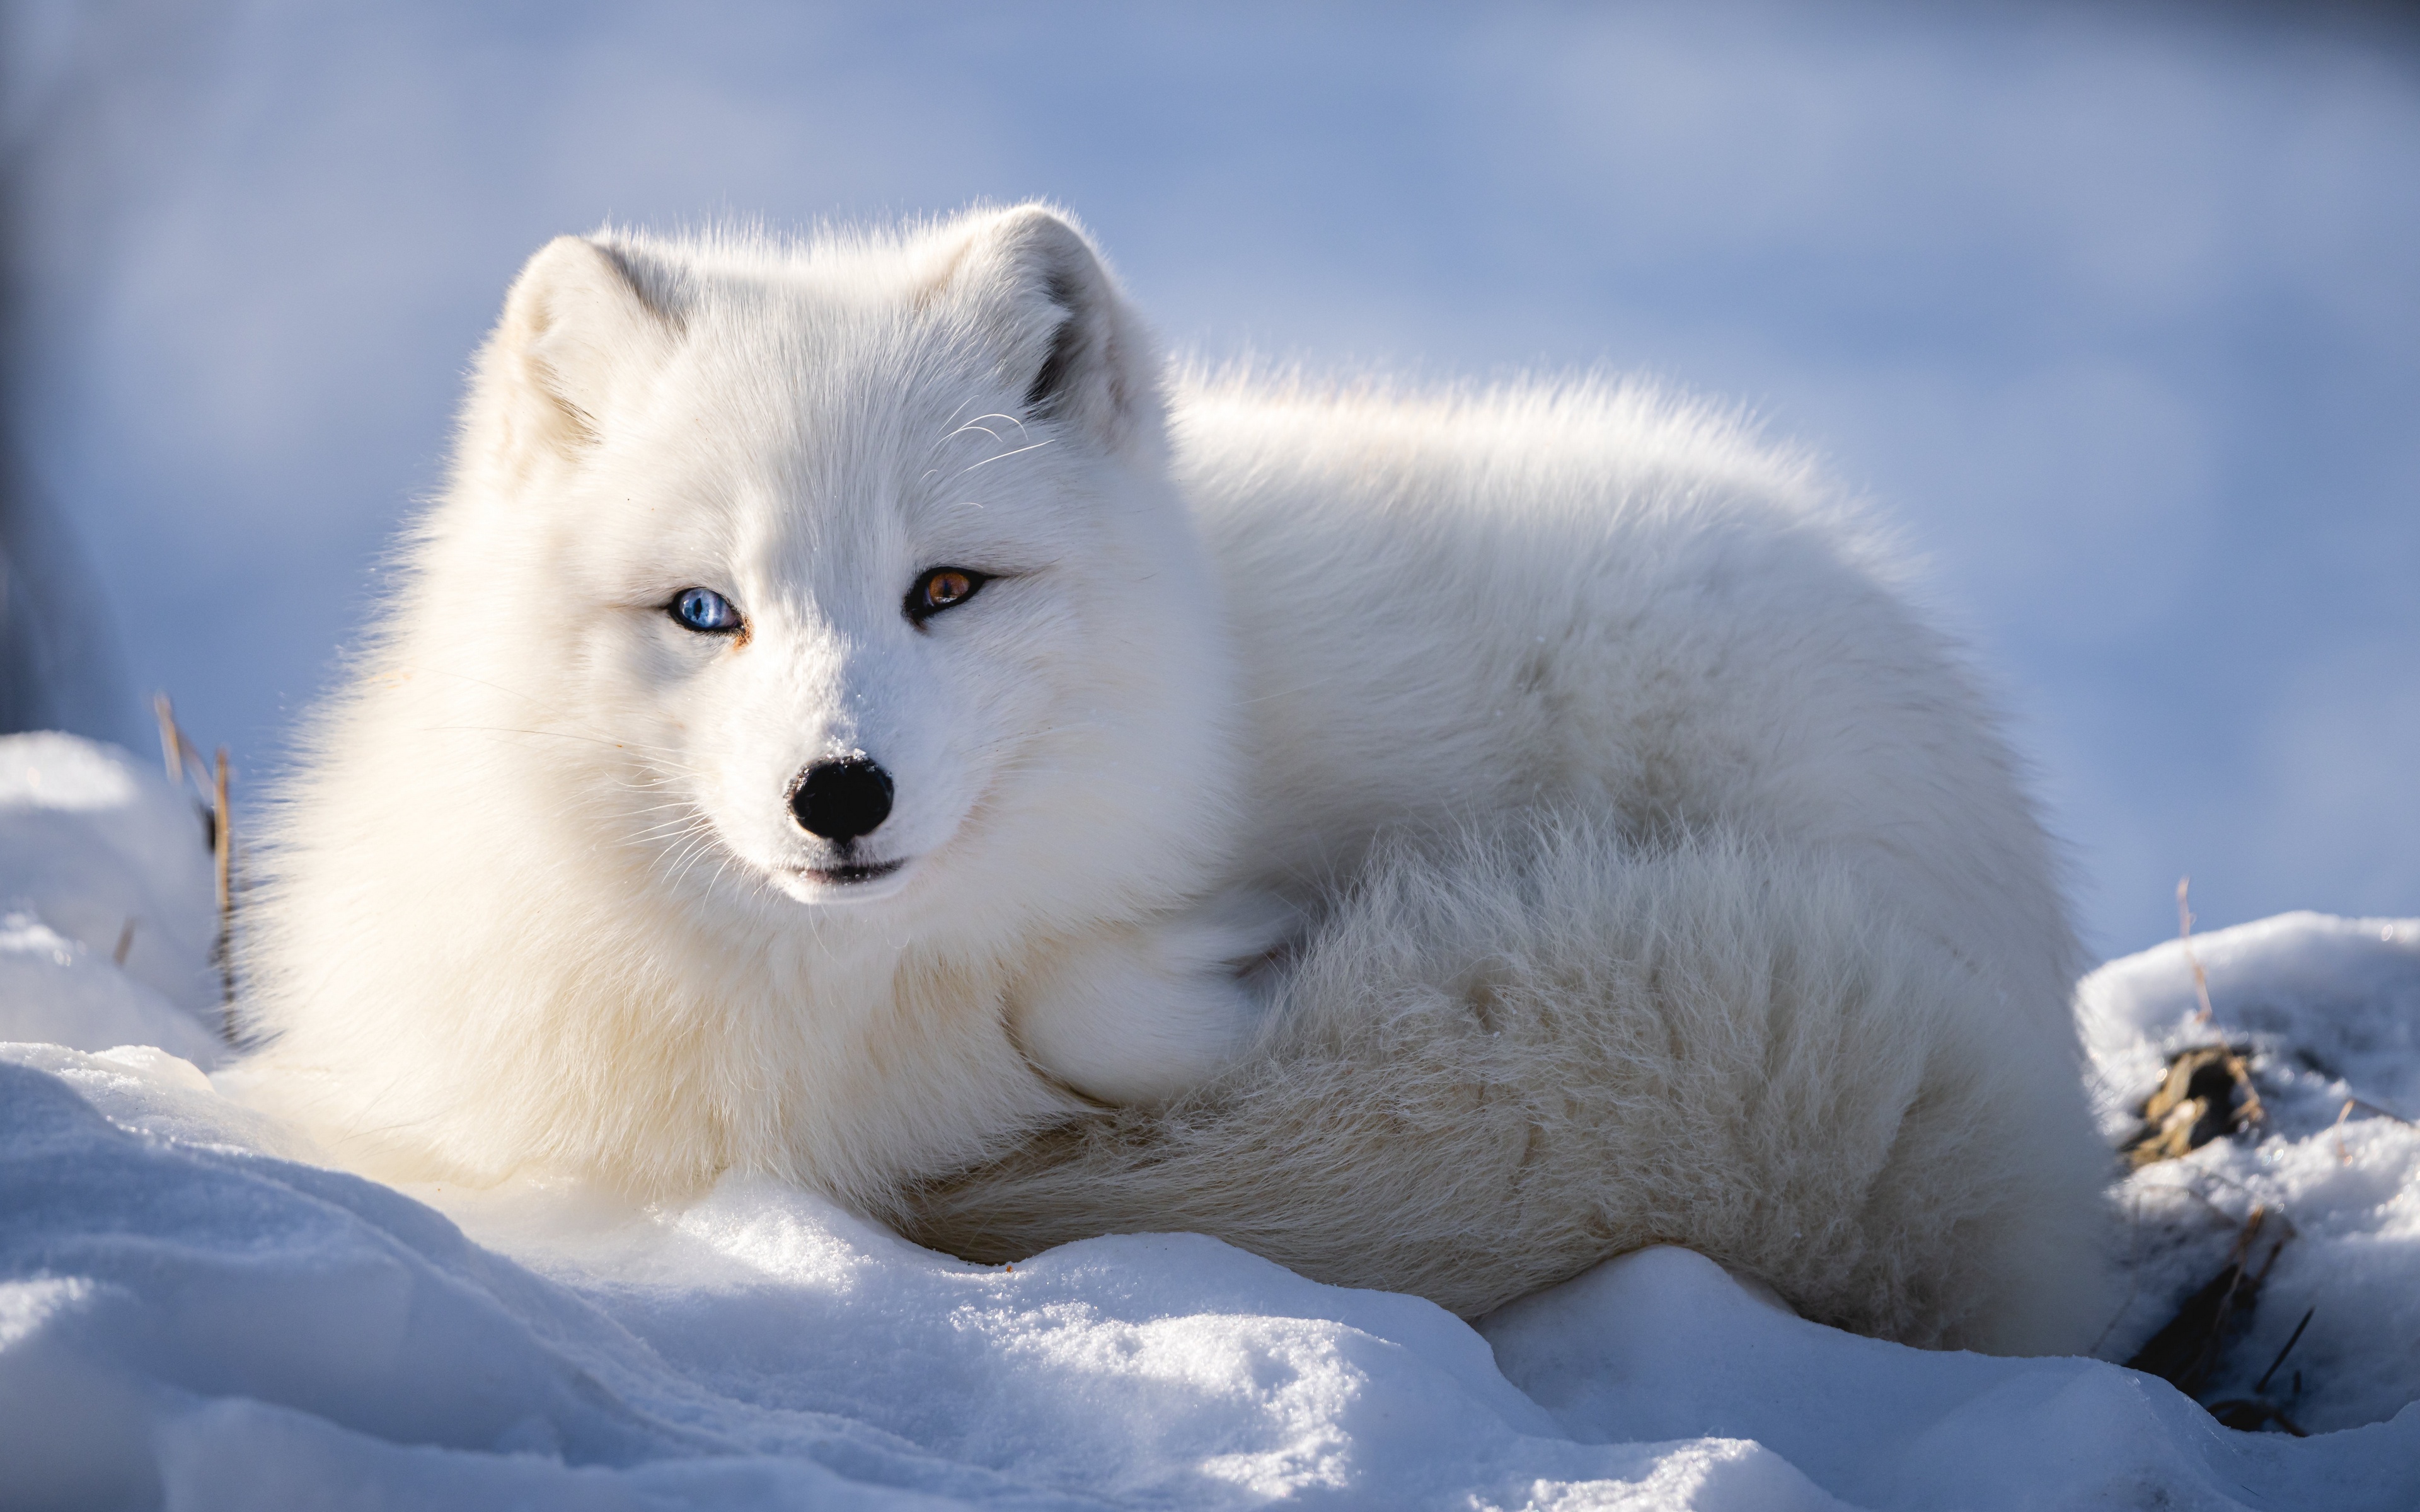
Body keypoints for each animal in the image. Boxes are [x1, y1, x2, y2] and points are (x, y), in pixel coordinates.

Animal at [236, 207, 2110, 1354]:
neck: (817, 1020)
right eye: (706, 611)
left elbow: (1095, 993)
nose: (838, 795)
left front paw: (1225, 964)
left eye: (945, 588)